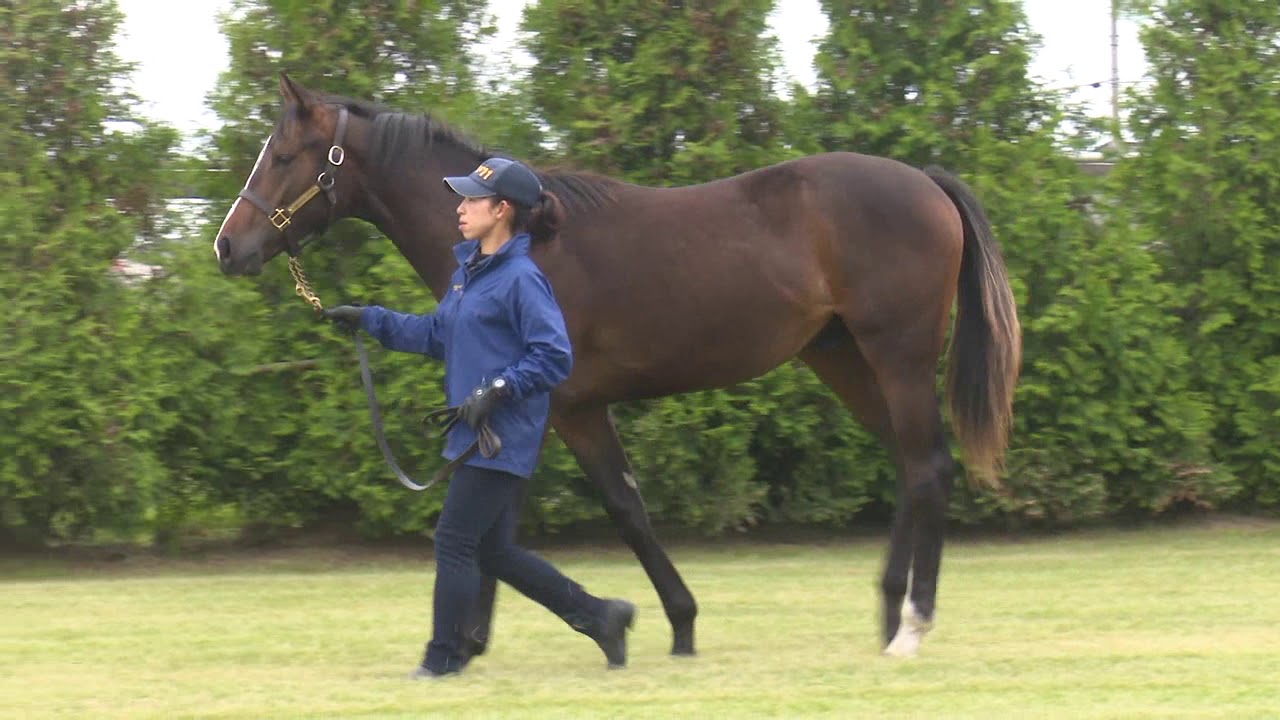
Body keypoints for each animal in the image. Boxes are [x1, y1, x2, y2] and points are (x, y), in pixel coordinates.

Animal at [215, 71, 1024, 655]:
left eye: (283, 157)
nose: (228, 246)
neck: (524, 243)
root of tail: (927, 181)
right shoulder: (517, 408)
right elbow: (499, 524)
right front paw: (473, 641)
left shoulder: (569, 407)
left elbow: (621, 509)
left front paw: (674, 623)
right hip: (845, 359)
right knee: (911, 465)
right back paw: (888, 616)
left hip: (898, 355)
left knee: (927, 466)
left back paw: (912, 624)